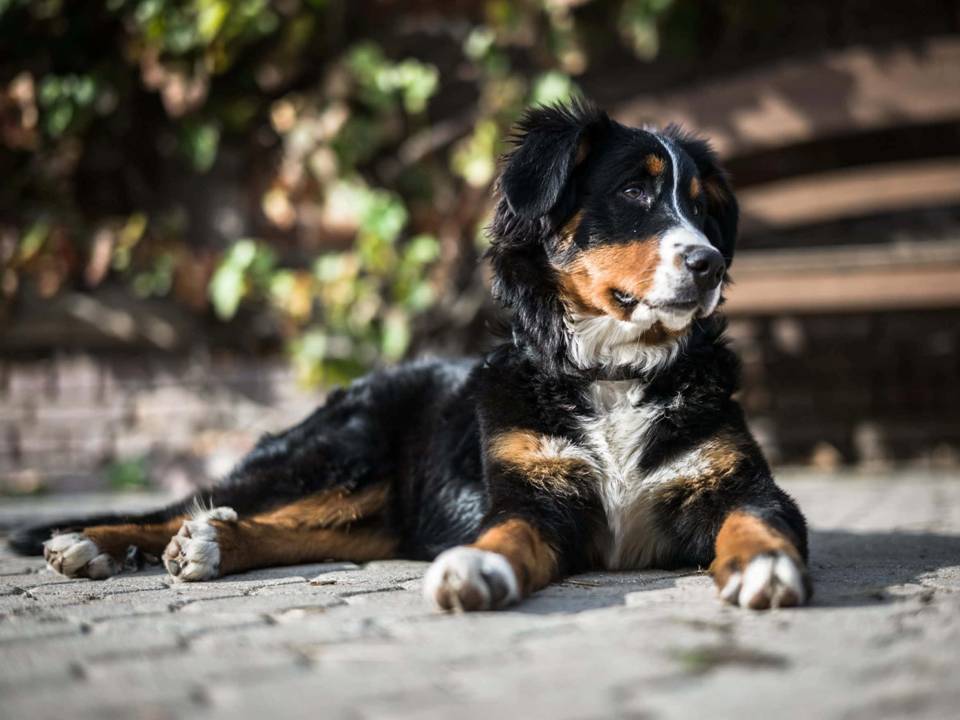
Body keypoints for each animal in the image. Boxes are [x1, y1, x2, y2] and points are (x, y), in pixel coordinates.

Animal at [11, 98, 812, 612]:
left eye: (703, 206)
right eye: (635, 191)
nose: (709, 263)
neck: (614, 374)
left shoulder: (739, 482)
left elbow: (758, 521)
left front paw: (765, 567)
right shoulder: (534, 496)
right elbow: (506, 533)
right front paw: (479, 567)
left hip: (372, 506)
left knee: (292, 530)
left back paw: (209, 545)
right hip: (341, 451)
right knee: (201, 502)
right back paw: (89, 543)